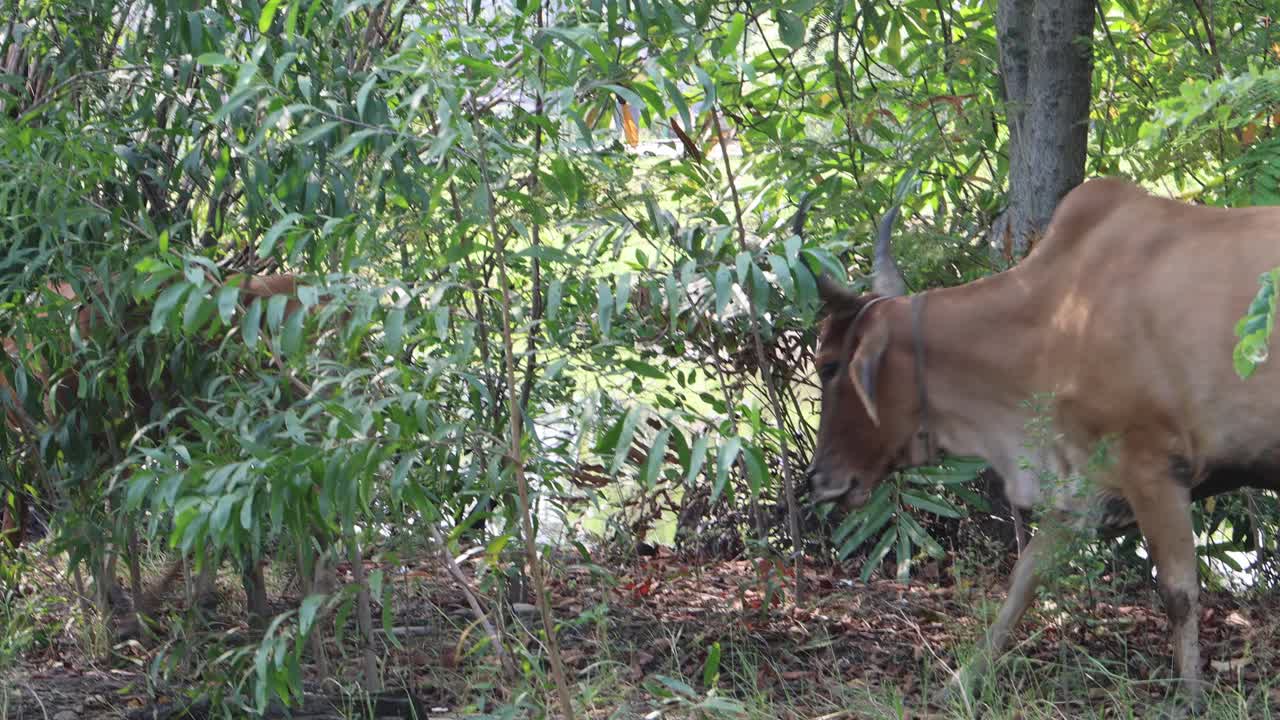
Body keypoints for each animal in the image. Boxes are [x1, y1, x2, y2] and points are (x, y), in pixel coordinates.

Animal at [808, 178, 1280, 707]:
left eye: (829, 365)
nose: (817, 479)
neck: (1053, 317)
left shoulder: (1153, 467)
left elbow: (1179, 593)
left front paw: (1191, 699)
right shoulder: (1082, 483)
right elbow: (1025, 578)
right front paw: (962, 681)